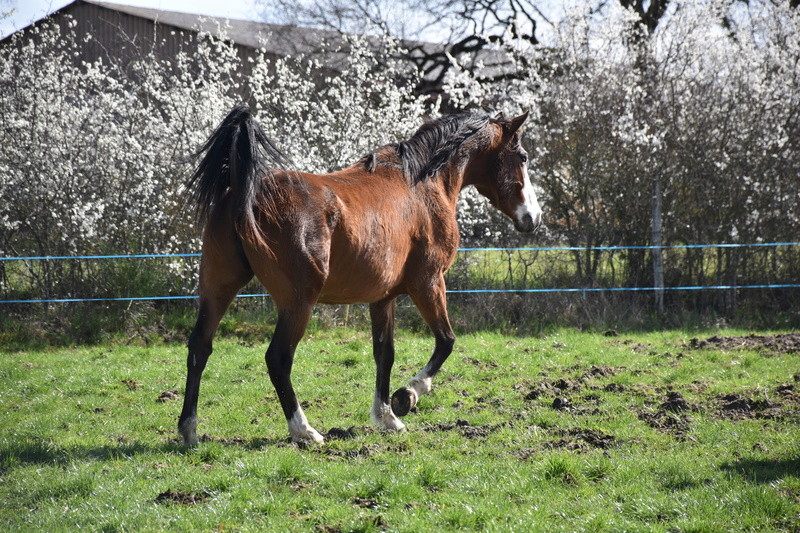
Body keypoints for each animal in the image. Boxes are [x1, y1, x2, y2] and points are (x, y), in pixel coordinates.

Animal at [180, 104, 544, 444]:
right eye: (523, 156)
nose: (534, 218)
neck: (421, 185)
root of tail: (246, 191)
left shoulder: (383, 298)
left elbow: (385, 354)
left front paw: (387, 417)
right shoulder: (428, 282)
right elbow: (446, 341)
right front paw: (407, 396)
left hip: (218, 287)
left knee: (200, 347)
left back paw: (189, 430)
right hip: (298, 301)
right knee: (278, 358)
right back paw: (304, 430)